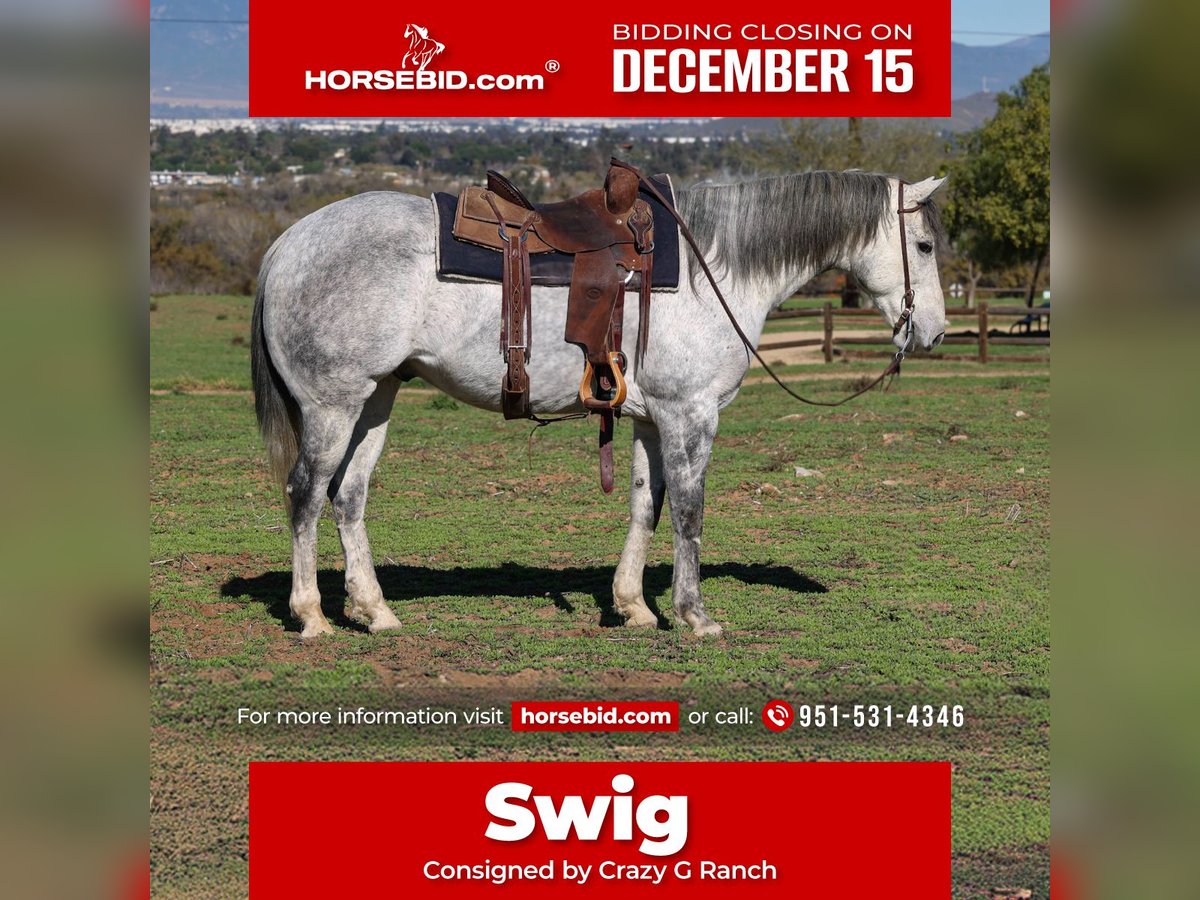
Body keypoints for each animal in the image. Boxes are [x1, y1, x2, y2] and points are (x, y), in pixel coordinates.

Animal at [251, 168, 948, 639]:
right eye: (925, 246)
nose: (934, 333)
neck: (712, 268)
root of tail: (287, 244)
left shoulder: (650, 421)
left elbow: (646, 505)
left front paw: (633, 606)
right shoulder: (691, 415)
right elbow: (689, 512)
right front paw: (694, 615)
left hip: (377, 399)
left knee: (348, 497)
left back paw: (375, 610)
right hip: (332, 406)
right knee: (305, 494)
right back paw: (312, 616)